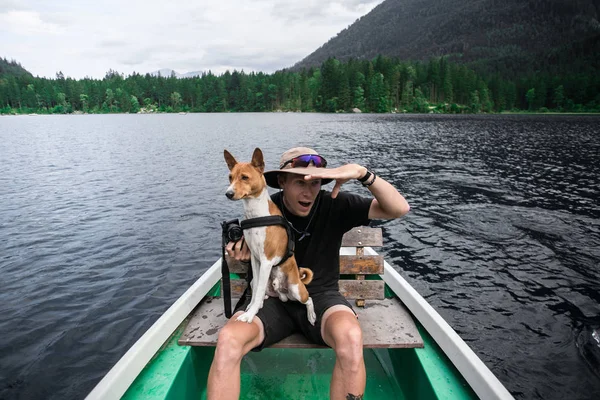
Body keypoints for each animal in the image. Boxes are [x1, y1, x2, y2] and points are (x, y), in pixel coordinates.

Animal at [225, 147, 318, 324]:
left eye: (245, 177)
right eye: (230, 177)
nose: (228, 193)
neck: (256, 215)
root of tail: (282, 292)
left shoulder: (266, 261)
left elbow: (259, 290)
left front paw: (250, 315)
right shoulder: (255, 259)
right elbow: (256, 291)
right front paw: (252, 307)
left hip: (296, 290)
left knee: (309, 299)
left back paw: (311, 316)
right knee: (261, 291)